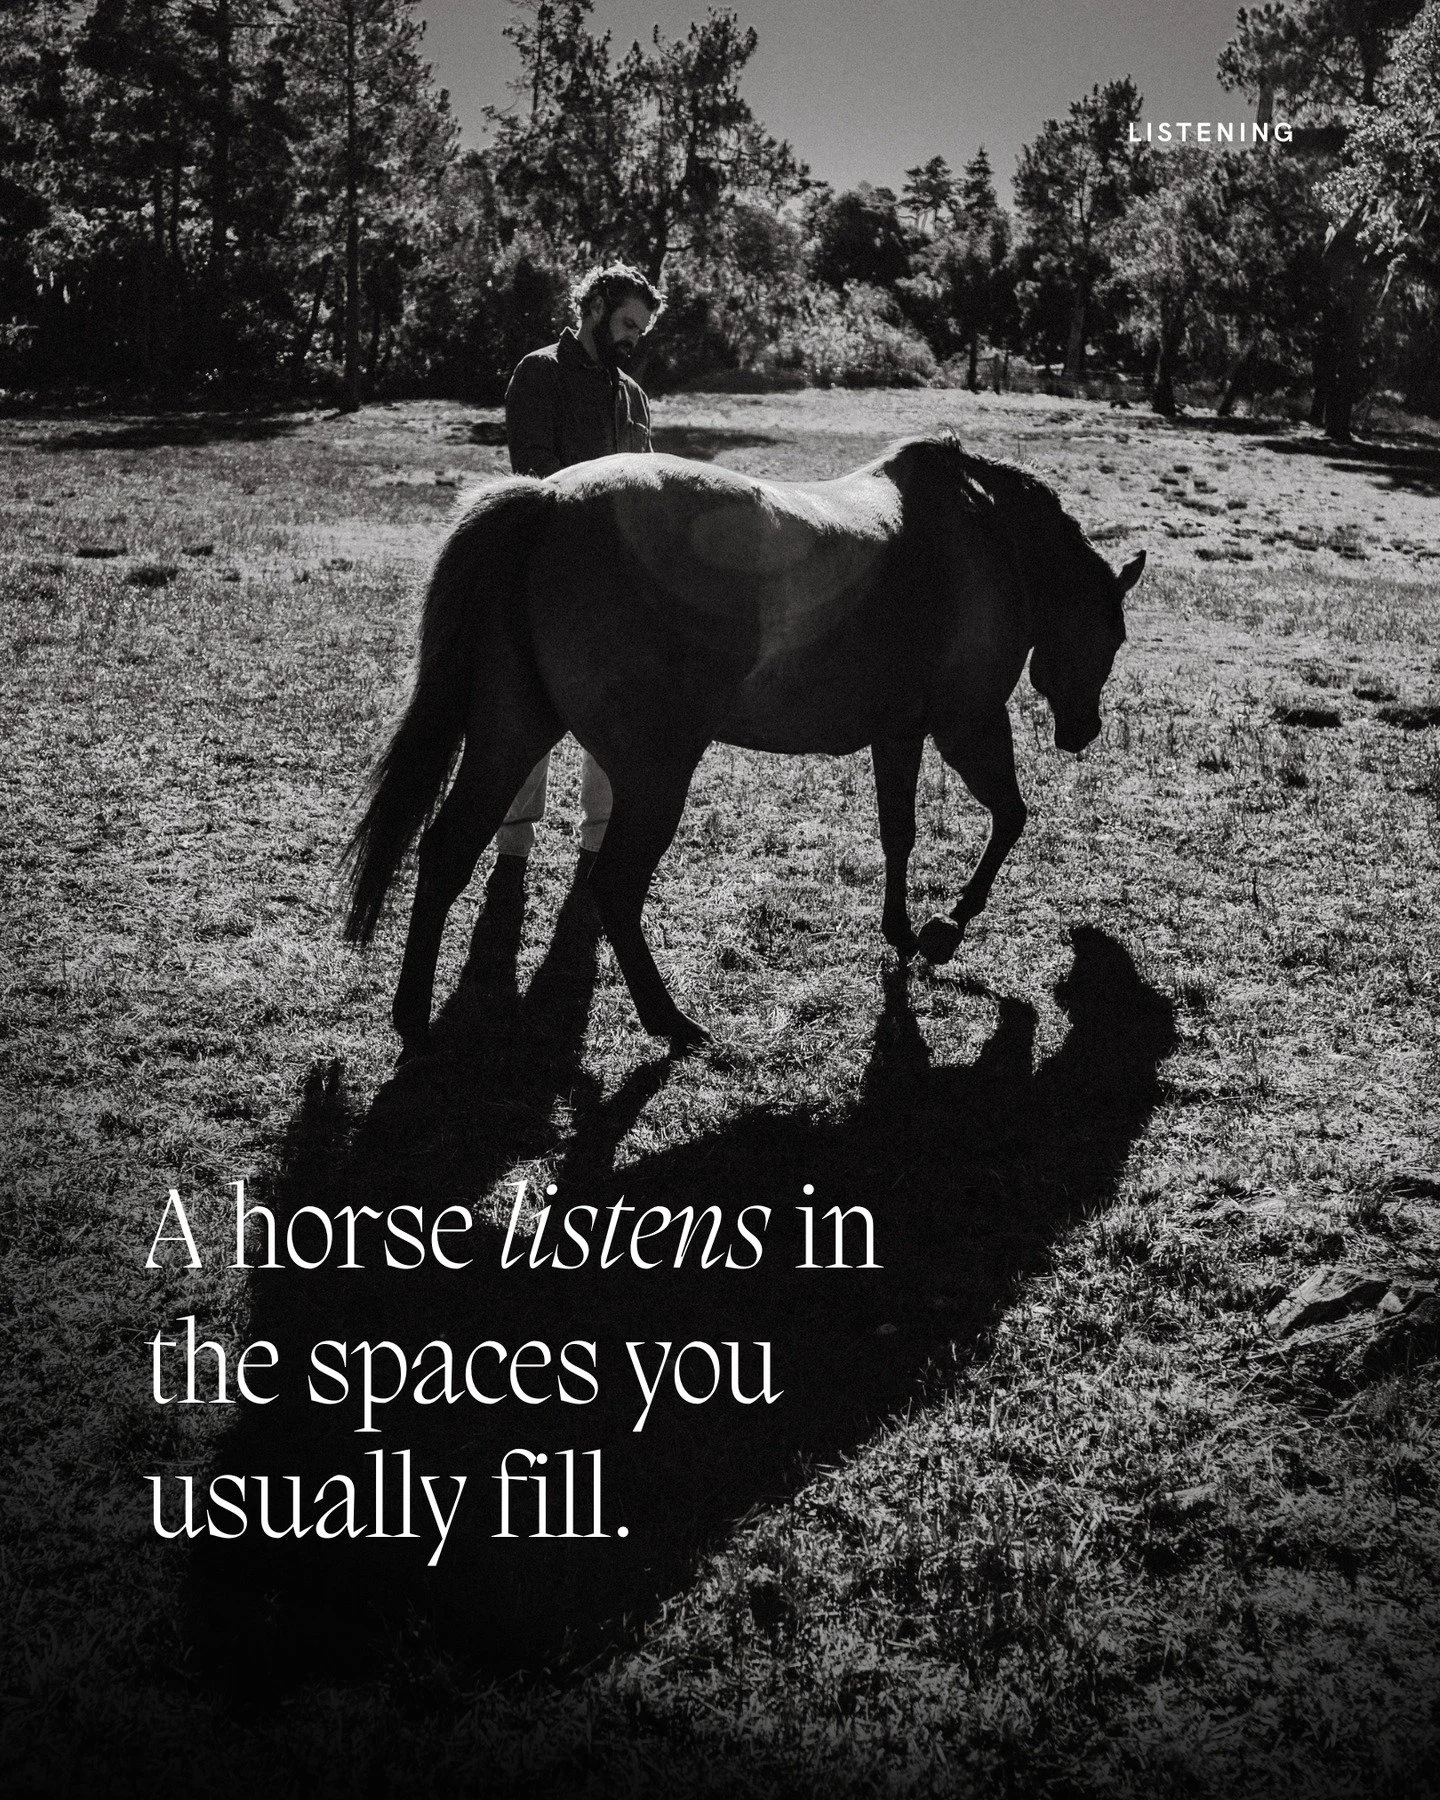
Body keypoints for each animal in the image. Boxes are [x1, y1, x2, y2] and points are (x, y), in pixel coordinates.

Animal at [343, 433, 1144, 1051]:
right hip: (652, 773)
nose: (1083, 731)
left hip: (510, 736)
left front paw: (902, 931)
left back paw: (412, 1017)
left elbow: (899, 831)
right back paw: (669, 1022)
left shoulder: (899, 734)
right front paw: (945, 928)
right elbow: (1010, 819)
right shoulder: (967, 725)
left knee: (447, 851)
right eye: (1113, 634)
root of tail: (545, 501)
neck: (986, 535)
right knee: (614, 887)